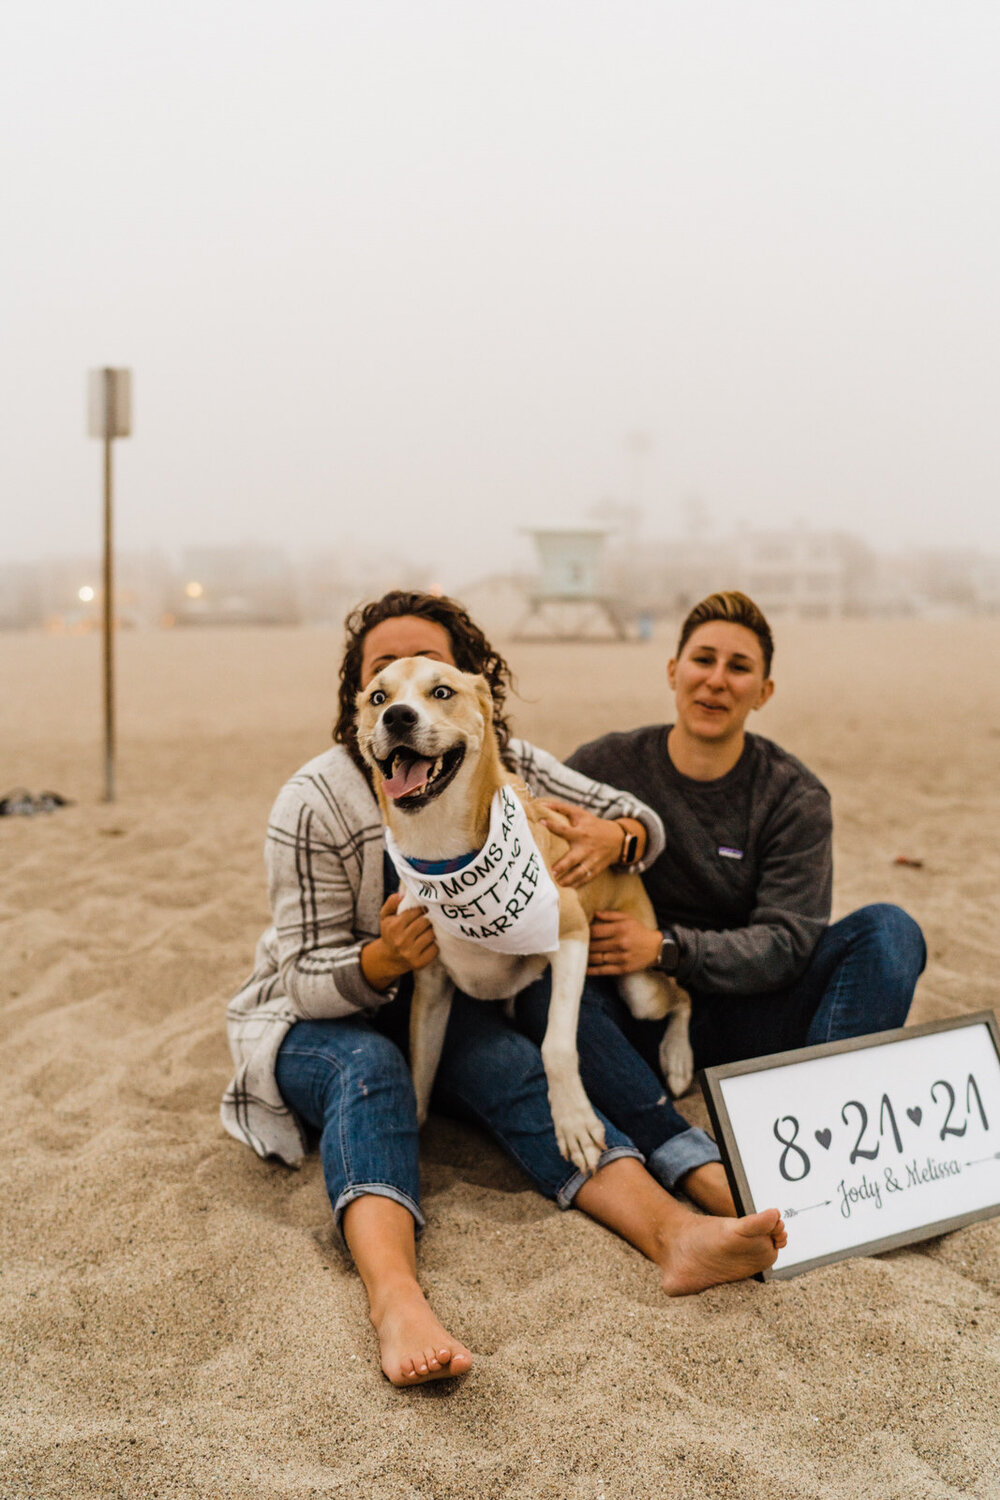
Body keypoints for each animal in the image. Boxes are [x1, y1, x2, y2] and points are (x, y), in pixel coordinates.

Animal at [355, 663, 692, 1176]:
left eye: (442, 692)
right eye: (378, 697)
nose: (397, 716)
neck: (444, 857)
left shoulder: (571, 938)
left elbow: (557, 1046)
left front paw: (575, 1125)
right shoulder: (431, 987)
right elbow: (420, 1070)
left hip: (640, 988)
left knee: (682, 996)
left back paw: (676, 1061)